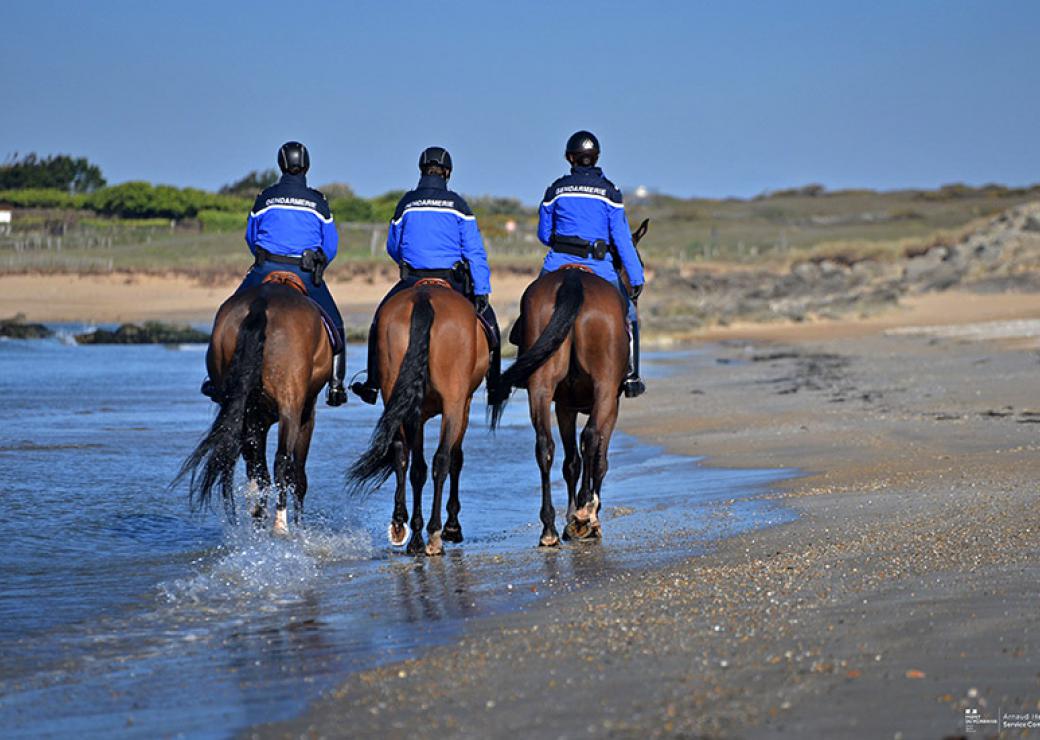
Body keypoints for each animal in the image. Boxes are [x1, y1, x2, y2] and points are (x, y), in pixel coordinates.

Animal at [172, 274, 330, 536]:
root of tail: (261, 303)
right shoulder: (307, 413)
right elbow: (297, 474)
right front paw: (299, 525)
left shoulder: (257, 420)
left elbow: (257, 469)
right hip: (291, 409)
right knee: (281, 462)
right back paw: (280, 525)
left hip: (244, 411)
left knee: (258, 469)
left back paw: (260, 521)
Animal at [347, 282, 488, 557]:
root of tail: (425, 297)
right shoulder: (463, 404)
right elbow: (456, 459)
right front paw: (452, 526)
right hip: (453, 403)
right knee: (441, 460)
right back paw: (434, 534)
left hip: (399, 395)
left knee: (407, 460)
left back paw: (407, 531)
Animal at [488, 219, 648, 548]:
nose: (636, 292)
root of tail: (573, 280)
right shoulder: (610, 404)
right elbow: (598, 457)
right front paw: (585, 517)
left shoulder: (564, 406)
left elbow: (571, 462)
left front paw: (570, 520)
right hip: (603, 390)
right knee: (591, 441)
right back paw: (585, 515)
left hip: (541, 388)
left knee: (545, 447)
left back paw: (549, 528)